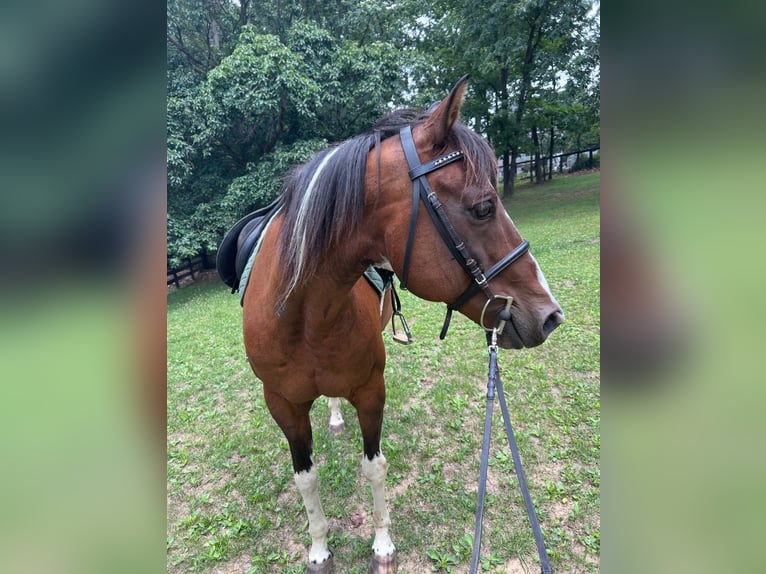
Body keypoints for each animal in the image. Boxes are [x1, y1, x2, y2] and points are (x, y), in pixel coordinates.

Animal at [229, 76, 563, 573]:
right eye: (484, 207)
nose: (550, 315)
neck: (303, 316)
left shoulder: (370, 389)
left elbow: (374, 466)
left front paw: (382, 543)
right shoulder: (283, 405)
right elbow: (305, 478)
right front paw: (318, 547)